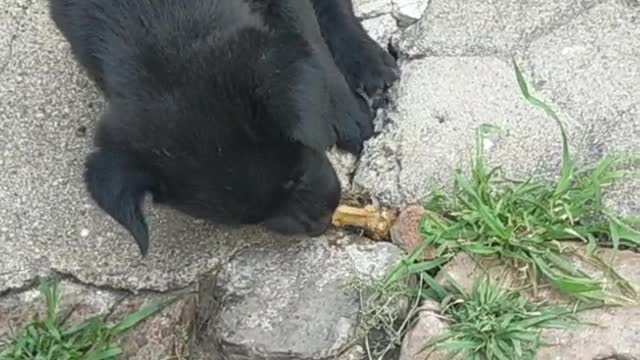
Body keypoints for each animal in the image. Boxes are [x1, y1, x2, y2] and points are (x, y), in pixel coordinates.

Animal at [50, 0, 398, 256]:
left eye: (296, 176)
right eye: (250, 219)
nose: (321, 224)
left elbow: (307, 34)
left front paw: (342, 108)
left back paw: (367, 60)